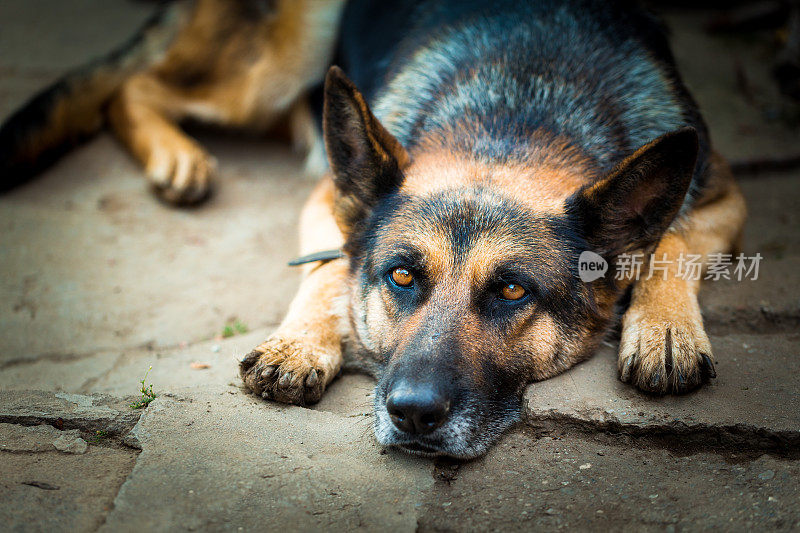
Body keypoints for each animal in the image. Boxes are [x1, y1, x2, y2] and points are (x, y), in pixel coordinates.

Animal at [3, 0, 748, 458]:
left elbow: (671, 239)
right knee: (134, 88)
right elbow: (332, 263)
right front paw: (300, 342)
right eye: (402, 275)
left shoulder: (722, 194)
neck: (519, 116)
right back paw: (177, 156)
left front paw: (667, 330)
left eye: (513, 292)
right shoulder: (325, 199)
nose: (413, 413)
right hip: (289, 53)